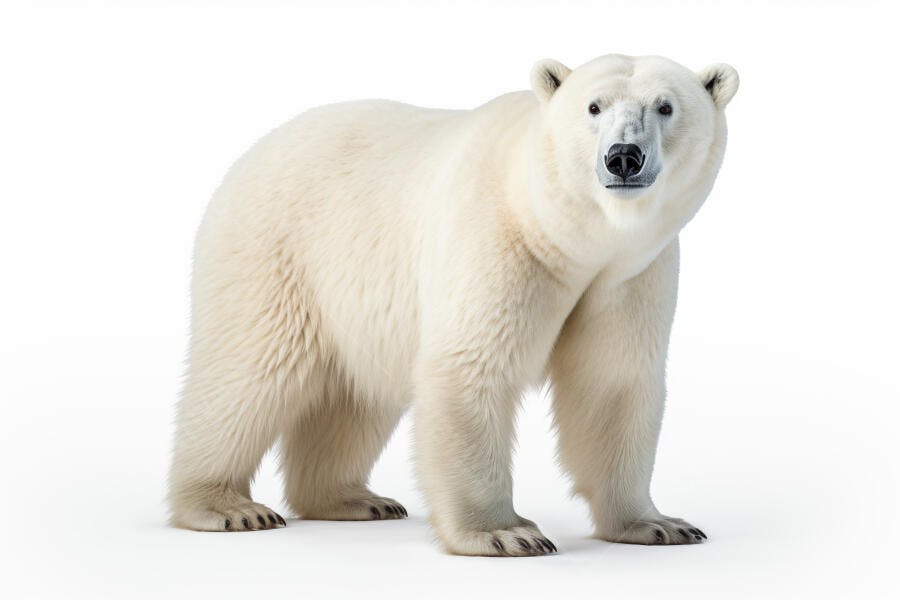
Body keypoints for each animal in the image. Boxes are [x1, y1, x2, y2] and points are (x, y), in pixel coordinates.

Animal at [168, 53, 738, 556]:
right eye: (593, 107)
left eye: (665, 106)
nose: (623, 156)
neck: (565, 234)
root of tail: (253, 150)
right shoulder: (499, 239)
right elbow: (472, 367)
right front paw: (505, 533)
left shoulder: (629, 274)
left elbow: (611, 384)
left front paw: (657, 524)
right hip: (277, 250)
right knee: (249, 372)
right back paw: (227, 506)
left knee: (354, 397)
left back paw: (354, 499)